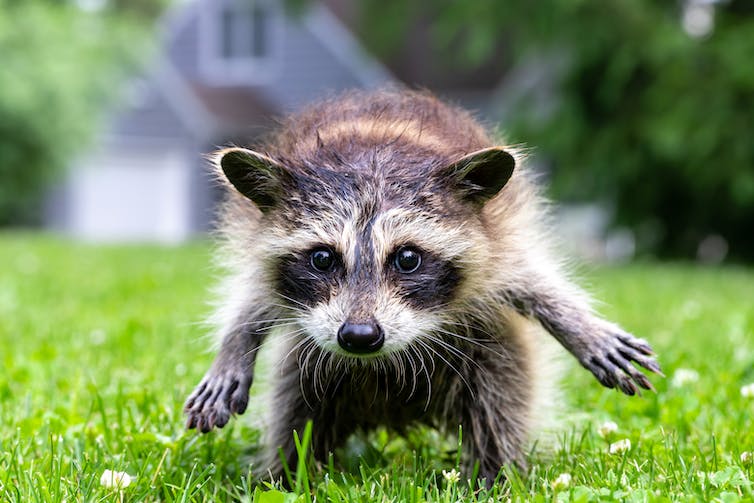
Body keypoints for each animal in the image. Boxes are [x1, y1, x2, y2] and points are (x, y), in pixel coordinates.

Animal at [184, 89, 656, 484]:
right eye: (322, 258)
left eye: (408, 258)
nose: (359, 336)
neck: (373, 155)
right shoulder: (255, 232)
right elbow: (253, 298)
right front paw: (235, 345)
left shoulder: (500, 232)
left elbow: (533, 281)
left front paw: (579, 326)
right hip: (312, 369)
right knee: (296, 410)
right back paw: (282, 477)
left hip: (490, 351)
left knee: (500, 403)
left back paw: (493, 477)